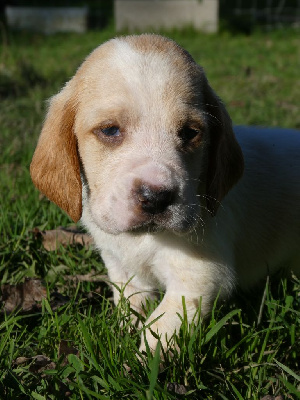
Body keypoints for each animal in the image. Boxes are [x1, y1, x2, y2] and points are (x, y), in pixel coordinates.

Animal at [31, 35, 300, 354]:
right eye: (110, 130)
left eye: (190, 132)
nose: (156, 197)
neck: (144, 239)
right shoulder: (121, 266)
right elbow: (130, 303)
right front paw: (124, 332)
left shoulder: (198, 278)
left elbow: (158, 332)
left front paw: (137, 364)